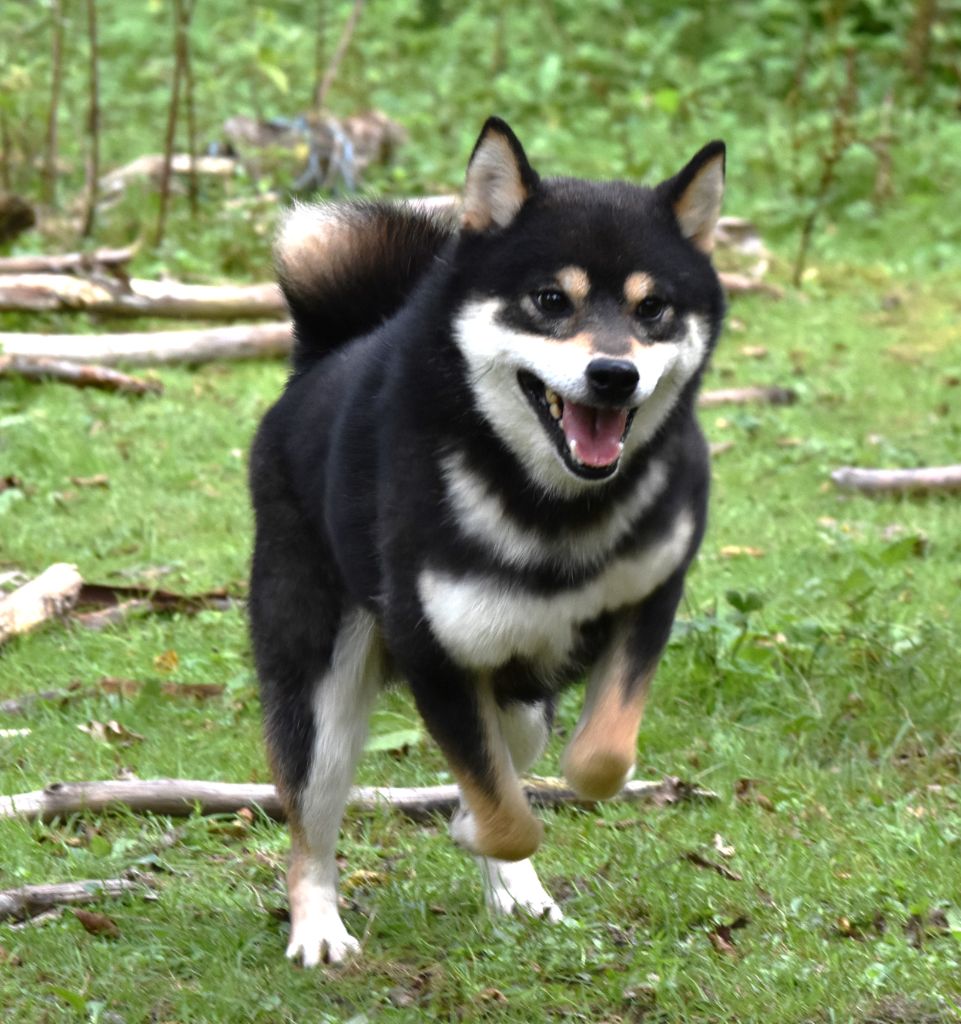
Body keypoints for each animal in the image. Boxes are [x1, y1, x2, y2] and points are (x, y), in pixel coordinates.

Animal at [251, 119, 721, 966]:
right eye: (550, 300)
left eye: (654, 309)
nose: (613, 374)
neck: (553, 510)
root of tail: (326, 357)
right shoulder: (434, 651)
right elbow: (501, 814)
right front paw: (480, 829)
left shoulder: (650, 599)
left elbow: (597, 760)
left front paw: (505, 838)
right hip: (323, 689)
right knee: (312, 821)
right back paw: (318, 926)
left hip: (523, 699)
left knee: (508, 756)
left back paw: (519, 892)